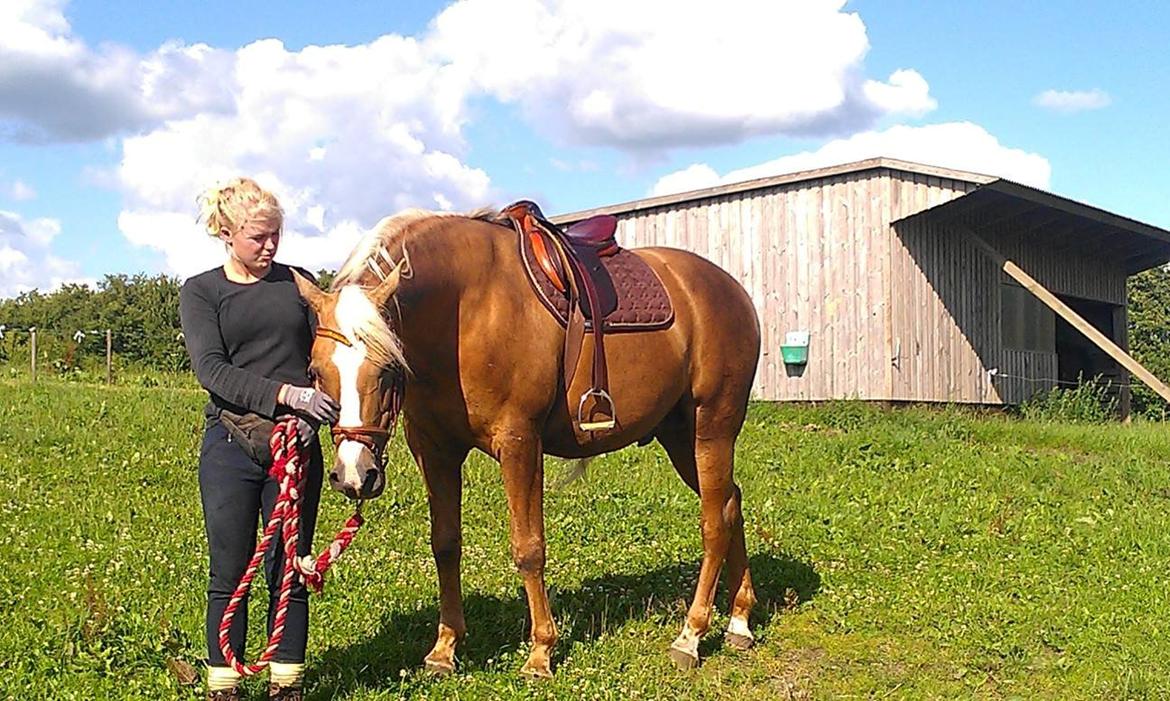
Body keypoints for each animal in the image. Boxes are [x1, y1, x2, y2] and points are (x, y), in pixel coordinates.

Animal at [294, 207, 758, 674]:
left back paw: (691, 635)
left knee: (714, 523)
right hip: (680, 437)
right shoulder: (435, 449)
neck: (467, 308)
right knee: (731, 503)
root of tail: (732, 291)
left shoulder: (519, 442)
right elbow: (445, 544)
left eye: (388, 369)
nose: (354, 475)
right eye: (315, 371)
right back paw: (739, 621)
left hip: (711, 429)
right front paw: (445, 646)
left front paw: (541, 651)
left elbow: (528, 547)